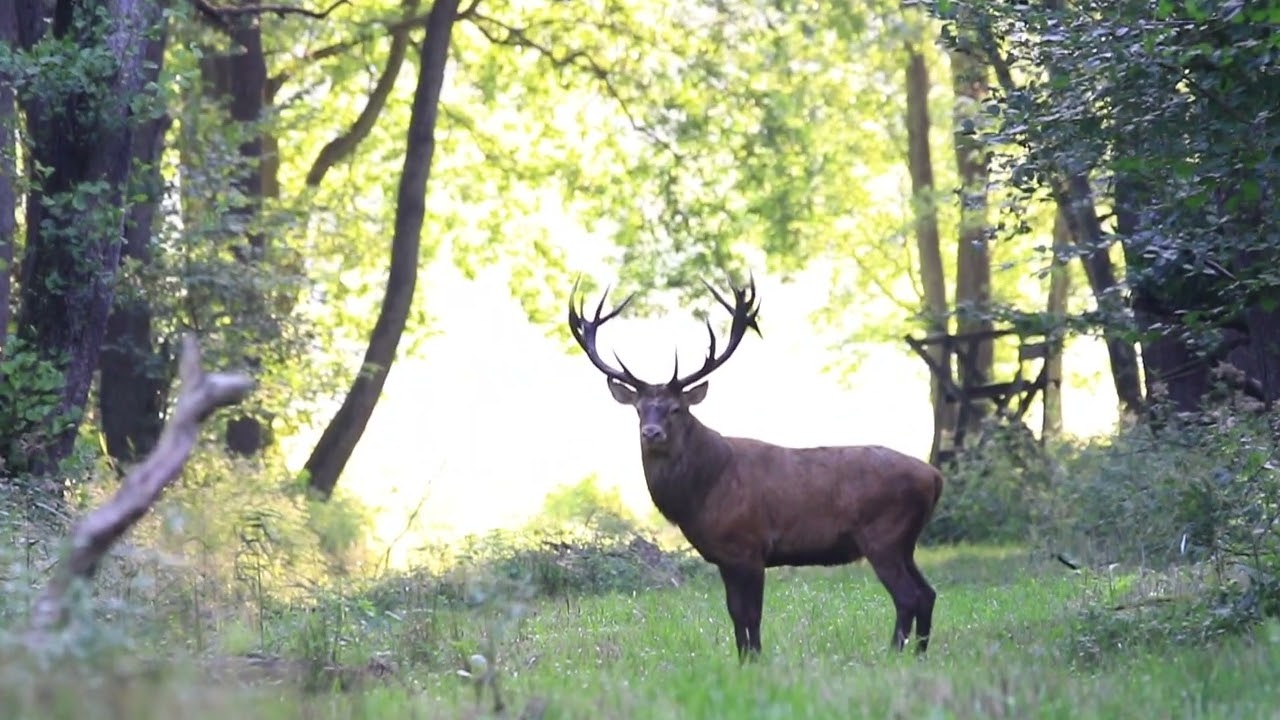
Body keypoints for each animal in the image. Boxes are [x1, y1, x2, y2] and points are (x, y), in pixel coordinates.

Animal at [568, 276, 943, 661]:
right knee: (927, 593)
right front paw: (744, 659)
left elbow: (751, 614)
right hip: (905, 541)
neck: (703, 494)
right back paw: (919, 653)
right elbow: (736, 614)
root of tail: (934, 477)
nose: (651, 432)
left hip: (884, 534)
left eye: (676, 408)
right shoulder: (725, 556)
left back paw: (896, 653)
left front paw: (755, 659)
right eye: (639, 409)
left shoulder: (749, 546)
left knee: (908, 596)